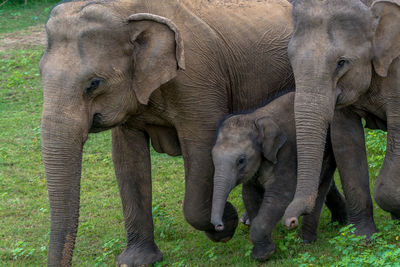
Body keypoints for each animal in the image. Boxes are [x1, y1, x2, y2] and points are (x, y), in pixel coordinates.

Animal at [39, 0, 296, 266]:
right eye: (40, 73)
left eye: (94, 83)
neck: (124, 11)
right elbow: (127, 159)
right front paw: (136, 261)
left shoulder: (198, 81)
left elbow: (202, 149)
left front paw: (225, 225)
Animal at [209, 92, 346, 262]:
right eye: (212, 157)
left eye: (241, 160)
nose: (220, 226)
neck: (254, 118)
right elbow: (249, 196)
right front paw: (262, 251)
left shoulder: (286, 155)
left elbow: (279, 196)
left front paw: (263, 256)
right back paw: (341, 222)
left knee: (322, 184)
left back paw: (306, 240)